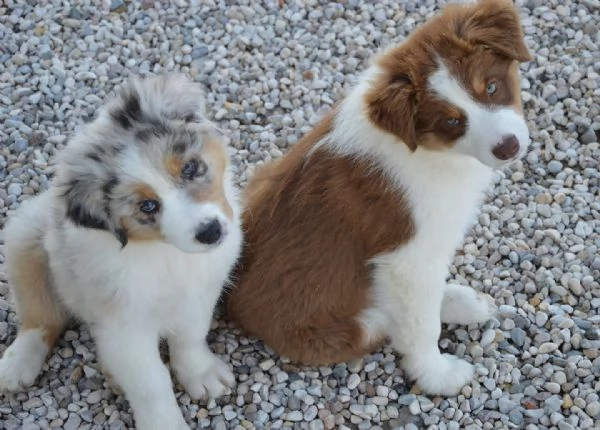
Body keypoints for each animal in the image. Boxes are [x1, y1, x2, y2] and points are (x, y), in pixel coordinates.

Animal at [1, 74, 244, 430]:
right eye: (147, 206)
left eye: (191, 169)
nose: (211, 232)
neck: (165, 255)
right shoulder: (123, 327)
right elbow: (150, 383)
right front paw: (165, 424)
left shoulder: (199, 293)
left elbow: (190, 337)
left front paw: (202, 374)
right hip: (26, 236)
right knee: (40, 318)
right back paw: (17, 365)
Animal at [227, 0, 532, 396]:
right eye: (451, 122)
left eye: (492, 87)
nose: (508, 148)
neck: (431, 152)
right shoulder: (407, 256)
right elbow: (420, 326)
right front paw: (436, 375)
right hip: (344, 328)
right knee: (389, 318)